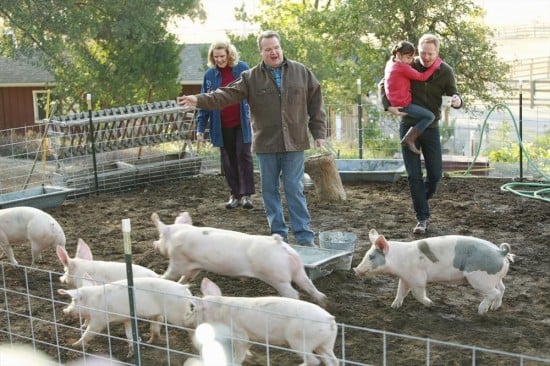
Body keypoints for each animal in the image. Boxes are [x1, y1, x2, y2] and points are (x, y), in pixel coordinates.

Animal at [152, 213, 328, 308]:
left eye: (160, 236)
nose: (154, 243)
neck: (175, 237)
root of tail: (279, 245)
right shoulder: (195, 266)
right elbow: (186, 277)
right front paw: (181, 284)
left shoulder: (178, 260)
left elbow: (171, 274)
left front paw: (160, 277)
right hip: (298, 271)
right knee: (310, 286)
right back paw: (324, 302)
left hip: (278, 278)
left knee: (294, 293)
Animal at [356, 229, 516, 314]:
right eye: (366, 254)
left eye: (371, 256)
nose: (355, 269)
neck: (399, 260)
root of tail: (501, 252)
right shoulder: (405, 277)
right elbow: (400, 291)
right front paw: (394, 306)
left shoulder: (418, 278)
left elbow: (417, 294)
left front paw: (431, 304)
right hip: (494, 278)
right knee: (502, 289)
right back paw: (495, 308)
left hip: (480, 279)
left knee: (494, 292)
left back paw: (481, 311)